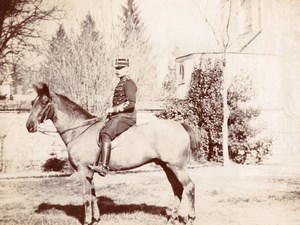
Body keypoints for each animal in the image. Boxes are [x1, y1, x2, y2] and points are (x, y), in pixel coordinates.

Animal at [26, 83, 199, 225]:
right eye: (32, 102)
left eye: (44, 102)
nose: (29, 126)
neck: (80, 130)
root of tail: (180, 125)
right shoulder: (90, 172)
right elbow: (93, 195)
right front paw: (96, 219)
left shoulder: (83, 170)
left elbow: (86, 197)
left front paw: (87, 221)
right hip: (167, 166)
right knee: (177, 188)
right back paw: (172, 218)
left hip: (177, 166)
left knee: (189, 187)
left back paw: (190, 218)